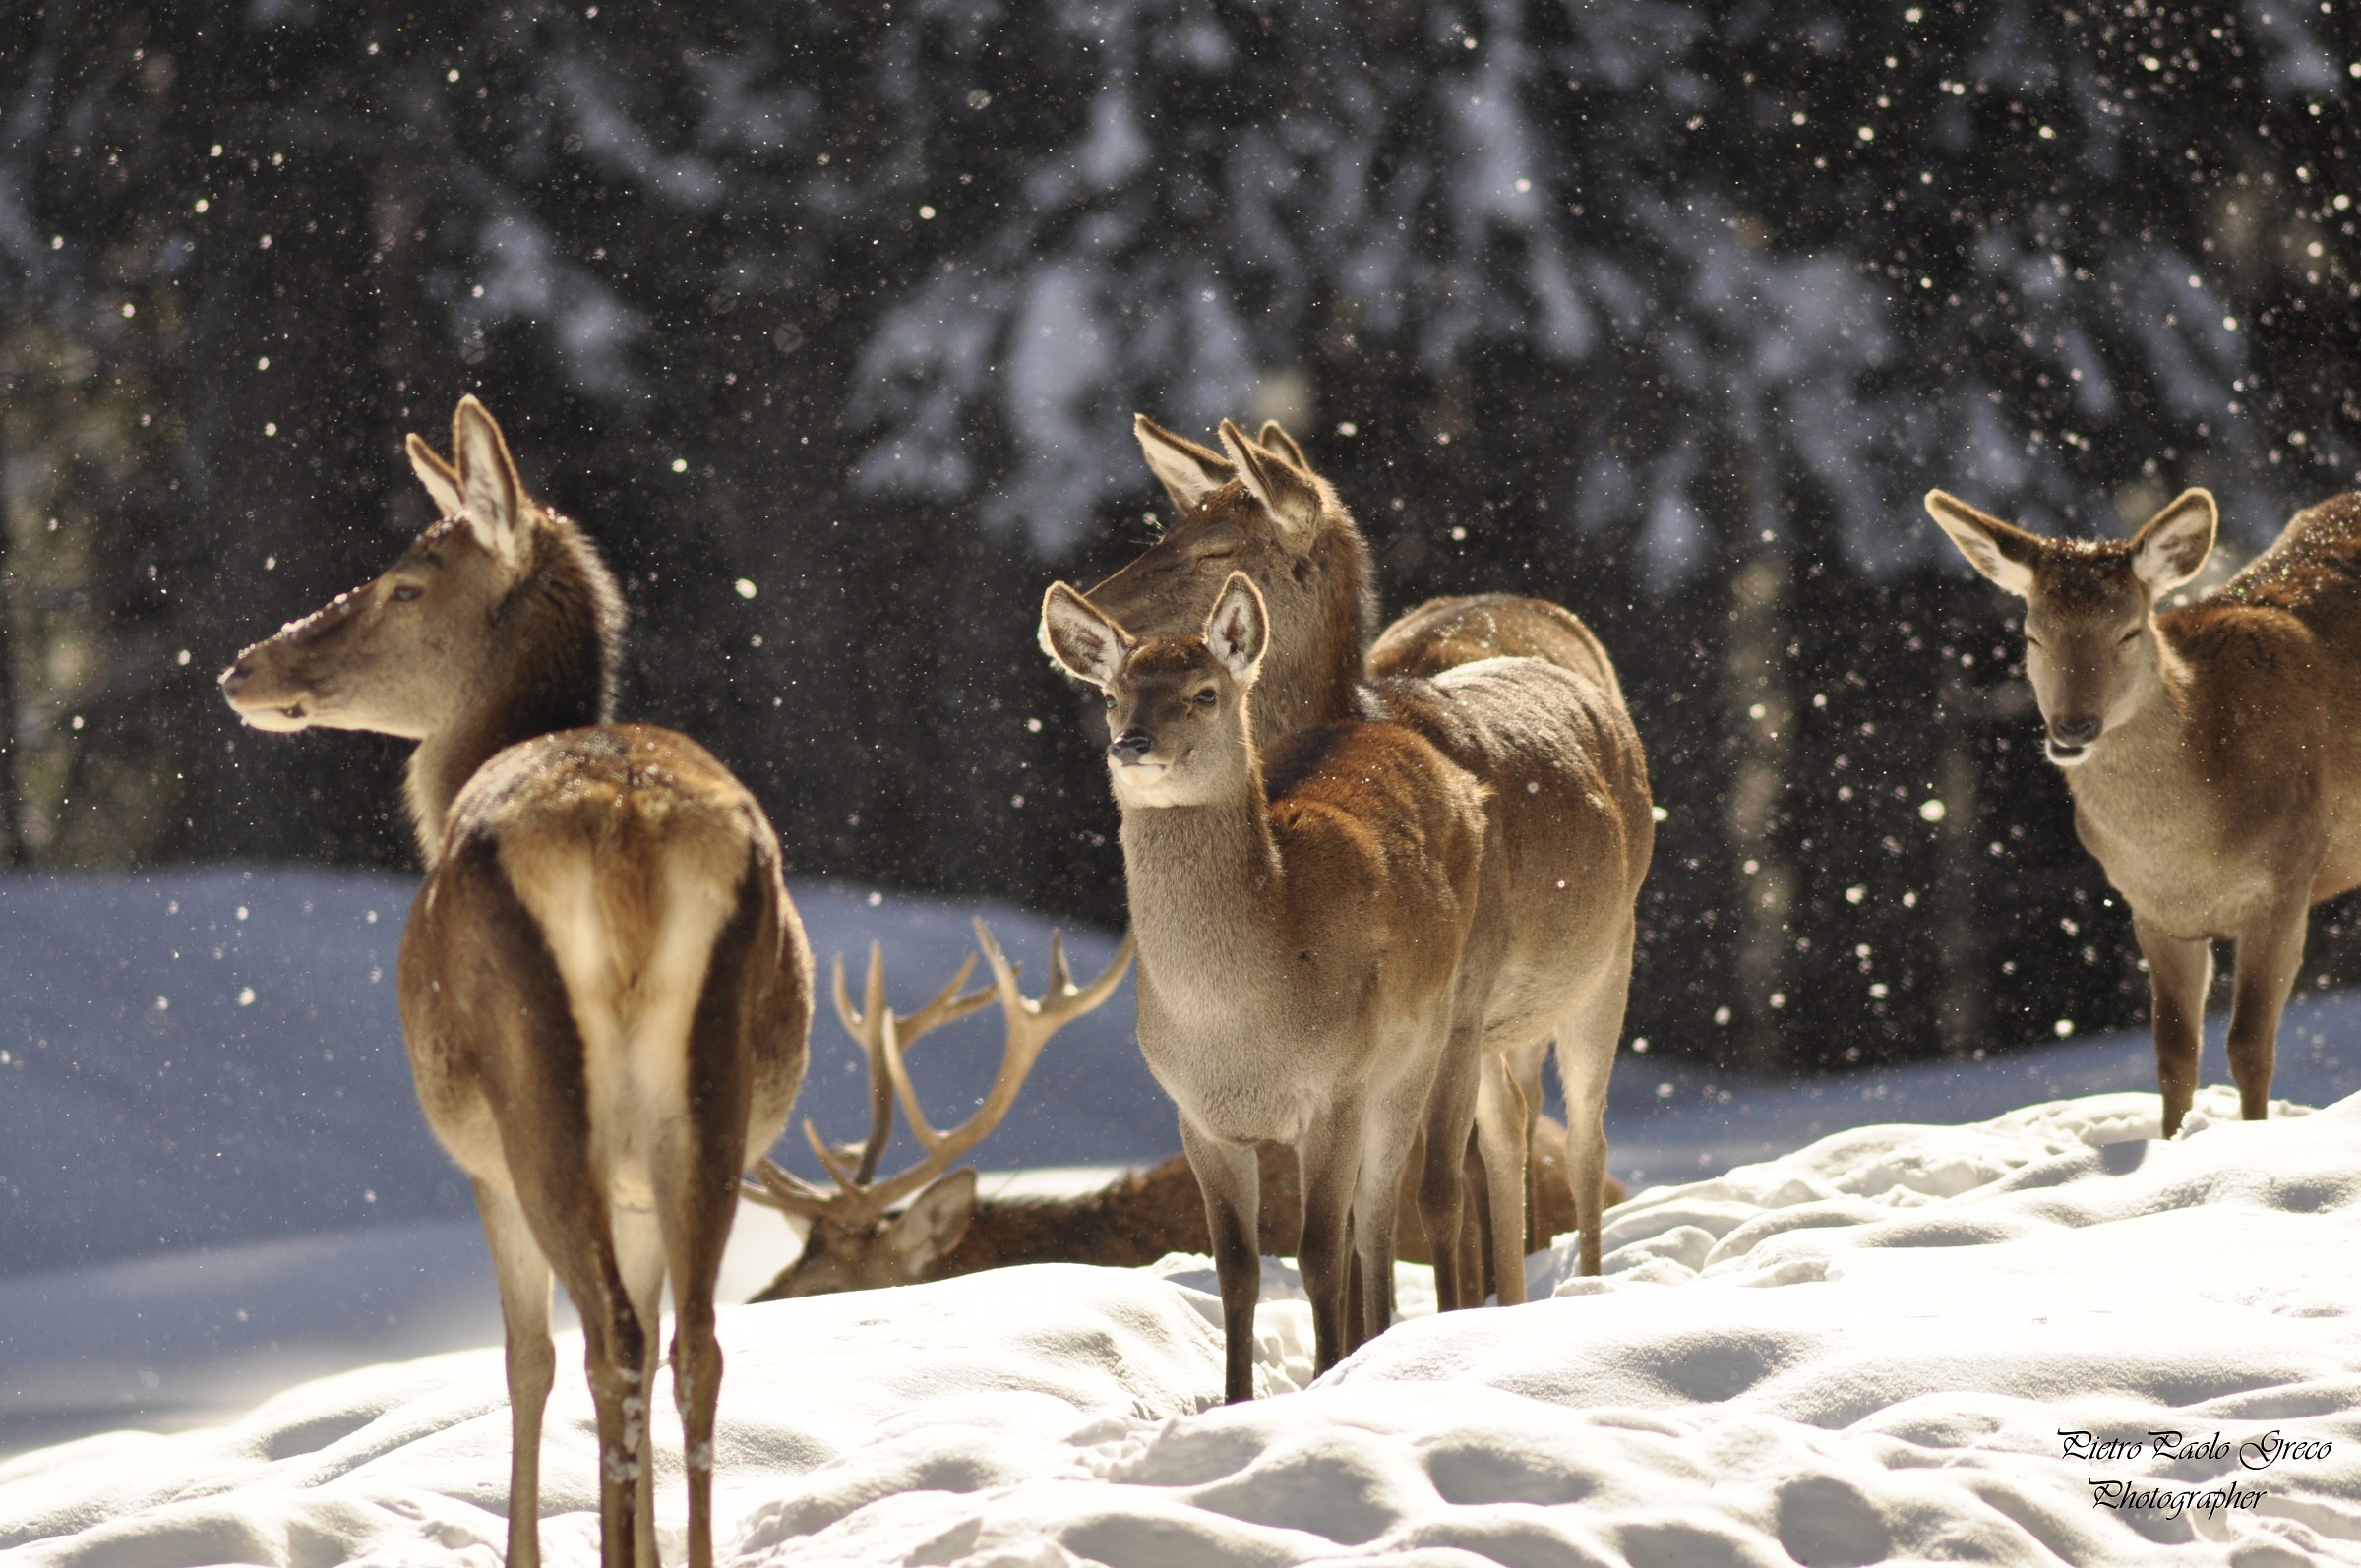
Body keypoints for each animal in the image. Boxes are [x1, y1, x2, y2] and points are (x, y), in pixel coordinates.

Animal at [219, 396, 812, 1568]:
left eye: (407, 582)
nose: (243, 668)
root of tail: (628, 827)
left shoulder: (478, 1166)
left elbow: (523, 1358)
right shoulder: (635, 1189)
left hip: (534, 1093)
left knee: (606, 1340)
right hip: (704, 1103)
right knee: (694, 1342)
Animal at [1041, 571, 1490, 1400]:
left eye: (1204, 692)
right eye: (1113, 695)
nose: (1131, 743)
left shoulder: (1337, 1086)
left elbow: (1319, 1252)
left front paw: (1322, 1378)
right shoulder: (1197, 1114)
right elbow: (1237, 1267)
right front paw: (1233, 1400)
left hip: (1416, 1051)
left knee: (1377, 1215)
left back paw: (1377, 1346)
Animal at [1069, 416, 1653, 1308]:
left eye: (1215, 548)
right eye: (1166, 528)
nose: (1078, 620)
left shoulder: (1460, 991)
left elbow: (1436, 1192)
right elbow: (1362, 1216)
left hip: (1603, 959)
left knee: (1586, 1134)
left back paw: (1578, 1287)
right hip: (1506, 1024)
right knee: (1513, 1127)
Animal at [1927, 485, 2361, 1137]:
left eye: (2129, 632)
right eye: (2032, 636)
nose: (2073, 728)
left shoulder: (2288, 877)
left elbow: (2249, 1045)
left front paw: (2254, 1140)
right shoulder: (2152, 909)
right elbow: (2173, 1053)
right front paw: (2174, 1141)